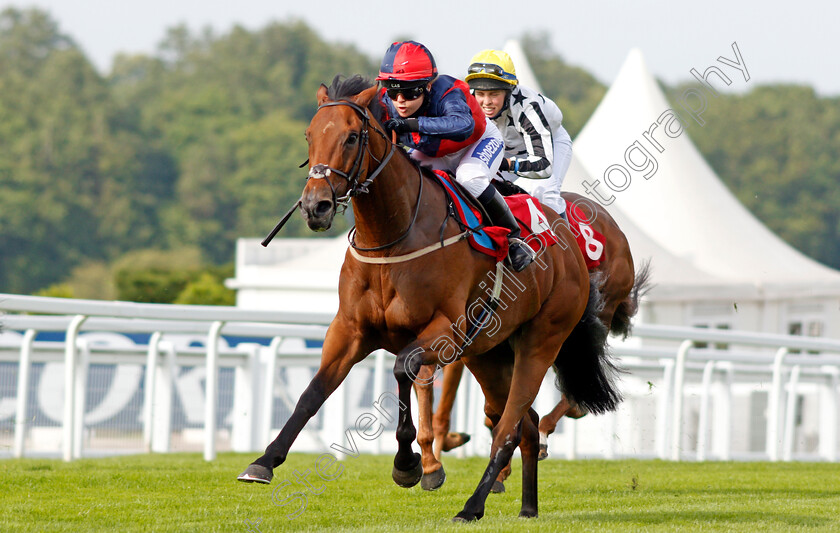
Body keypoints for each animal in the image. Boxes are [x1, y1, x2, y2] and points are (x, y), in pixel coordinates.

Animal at [236, 77, 624, 520]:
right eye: (309, 135)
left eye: (351, 137)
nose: (314, 206)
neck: (392, 238)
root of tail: (572, 245)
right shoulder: (349, 331)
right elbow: (311, 395)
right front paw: (263, 462)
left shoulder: (444, 332)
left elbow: (402, 370)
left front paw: (410, 465)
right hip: (488, 354)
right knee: (521, 423)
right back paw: (527, 507)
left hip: (540, 341)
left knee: (508, 427)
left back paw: (472, 506)